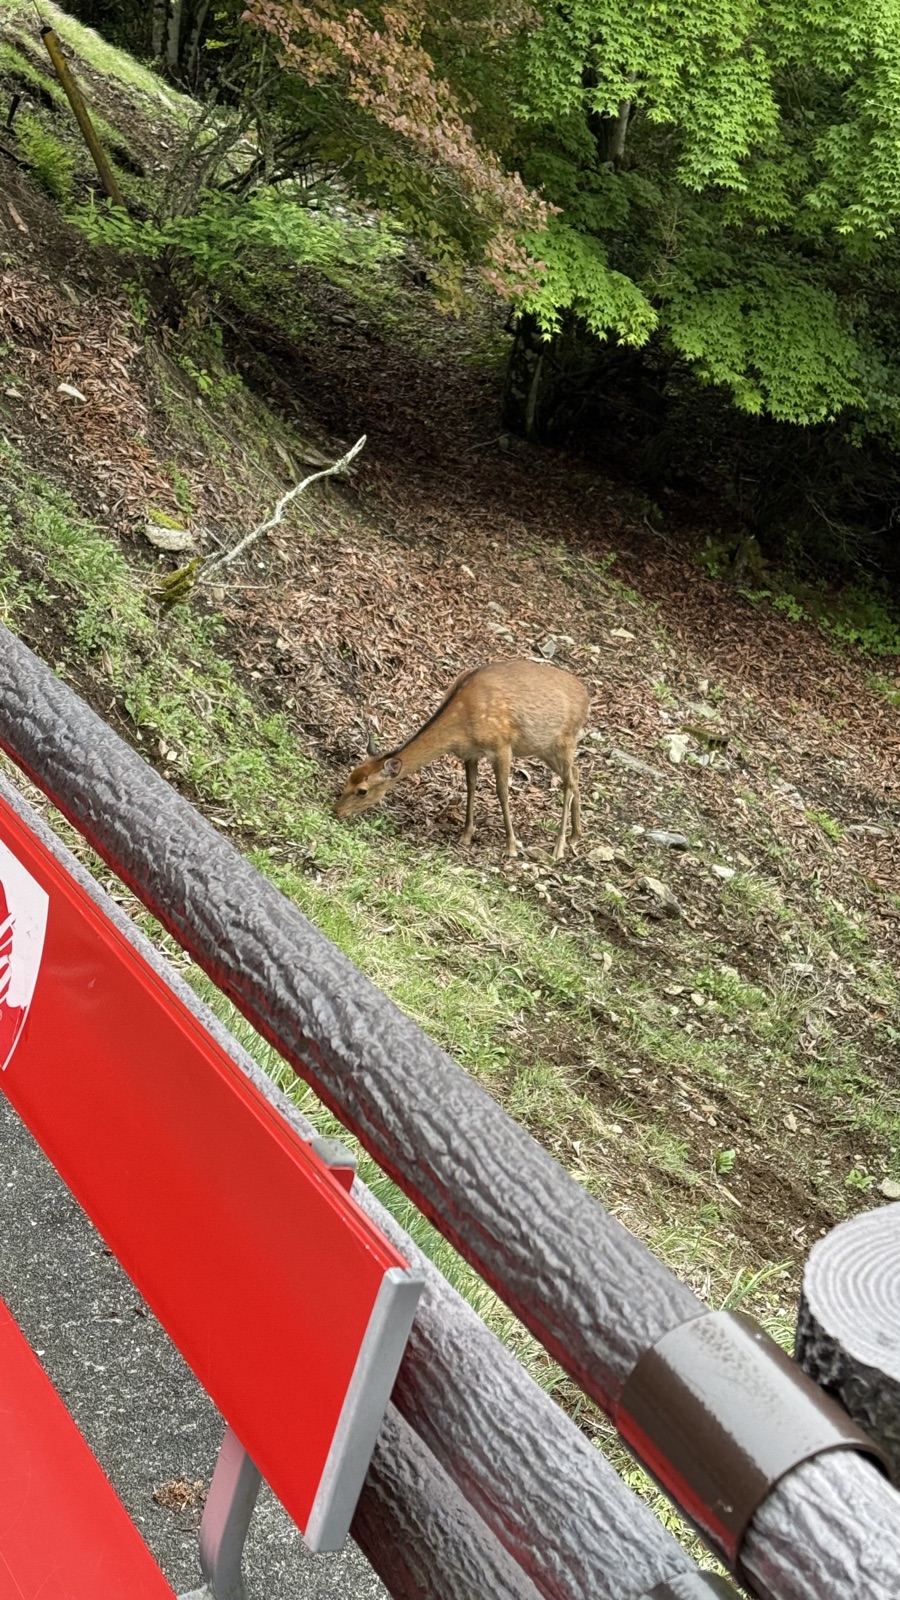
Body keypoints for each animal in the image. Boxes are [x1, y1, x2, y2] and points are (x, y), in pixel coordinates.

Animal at [334, 659, 591, 860]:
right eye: (348, 778)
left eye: (362, 791)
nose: (336, 810)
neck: (462, 726)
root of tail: (586, 696)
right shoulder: (470, 753)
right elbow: (471, 786)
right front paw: (466, 835)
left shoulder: (502, 745)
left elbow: (502, 793)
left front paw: (511, 847)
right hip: (544, 748)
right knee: (576, 774)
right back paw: (576, 836)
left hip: (565, 740)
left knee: (568, 782)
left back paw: (559, 847)